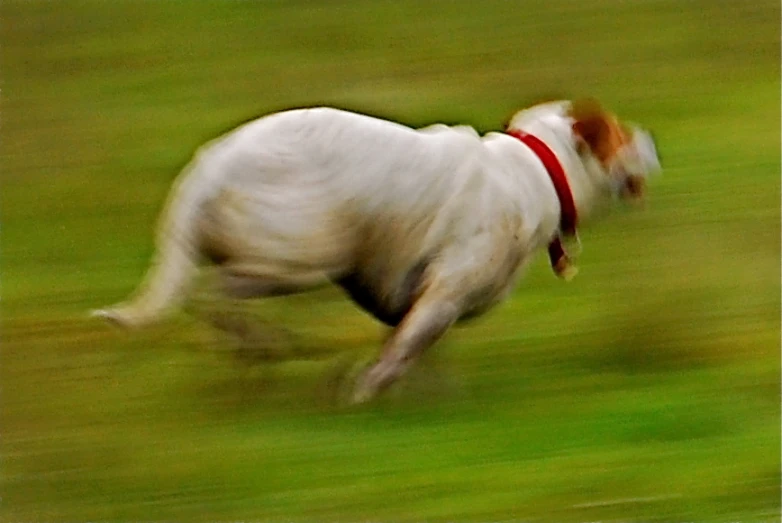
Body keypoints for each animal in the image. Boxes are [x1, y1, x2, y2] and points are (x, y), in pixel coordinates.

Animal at [95, 98, 664, 404]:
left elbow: (417, 350)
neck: (534, 169)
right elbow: (398, 355)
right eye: (619, 133)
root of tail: (205, 171)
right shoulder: (443, 291)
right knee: (215, 295)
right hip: (300, 257)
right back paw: (262, 344)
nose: (651, 138)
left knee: (214, 302)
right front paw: (361, 394)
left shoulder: (416, 296)